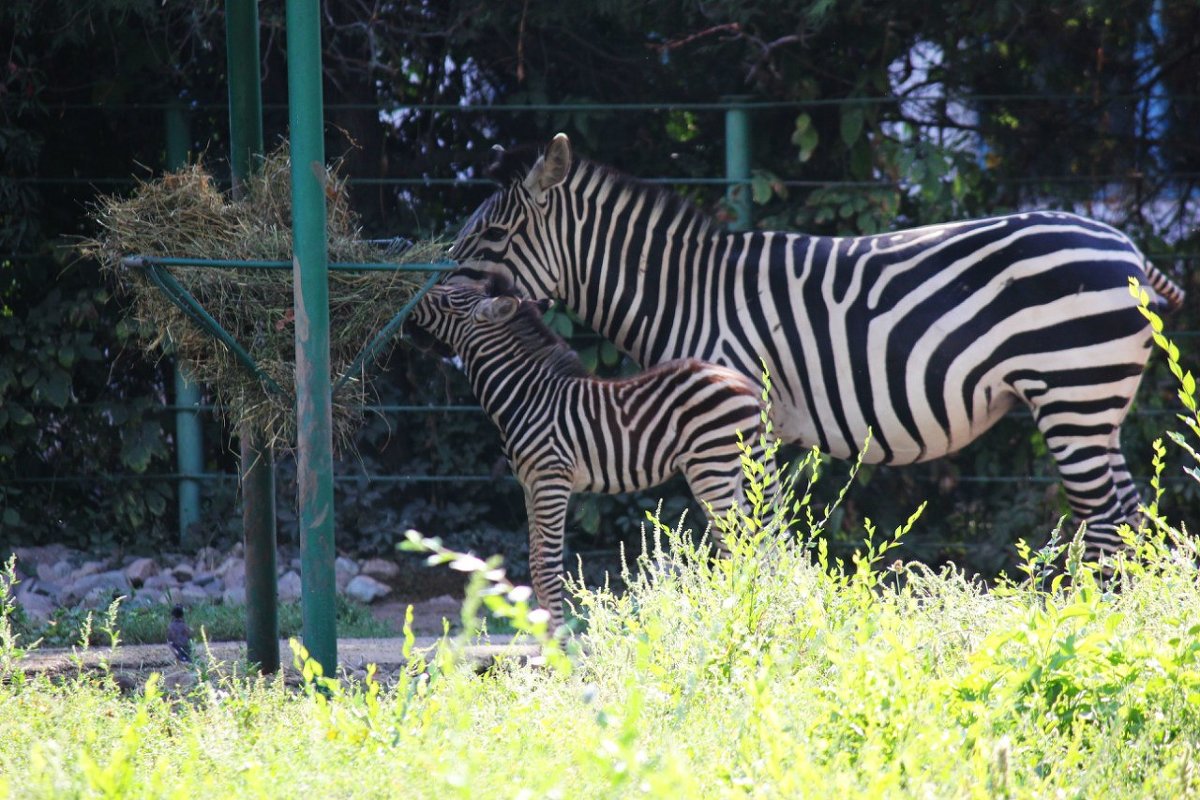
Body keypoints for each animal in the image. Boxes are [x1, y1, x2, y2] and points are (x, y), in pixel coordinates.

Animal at [410, 278, 768, 628]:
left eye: (447, 301)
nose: (412, 296)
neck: (528, 396)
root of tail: (747, 386)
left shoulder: (551, 479)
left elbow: (548, 567)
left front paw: (559, 644)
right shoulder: (529, 484)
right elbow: (535, 564)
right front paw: (543, 642)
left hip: (710, 466)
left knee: (737, 547)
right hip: (729, 470)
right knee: (748, 543)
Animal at [451, 133, 1190, 563]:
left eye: (490, 238)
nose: (440, 302)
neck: (687, 293)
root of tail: (1123, 245)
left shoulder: (730, 424)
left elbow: (750, 537)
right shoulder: (752, 433)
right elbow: (769, 534)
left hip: (1072, 393)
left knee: (1106, 520)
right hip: (1095, 404)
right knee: (1129, 514)